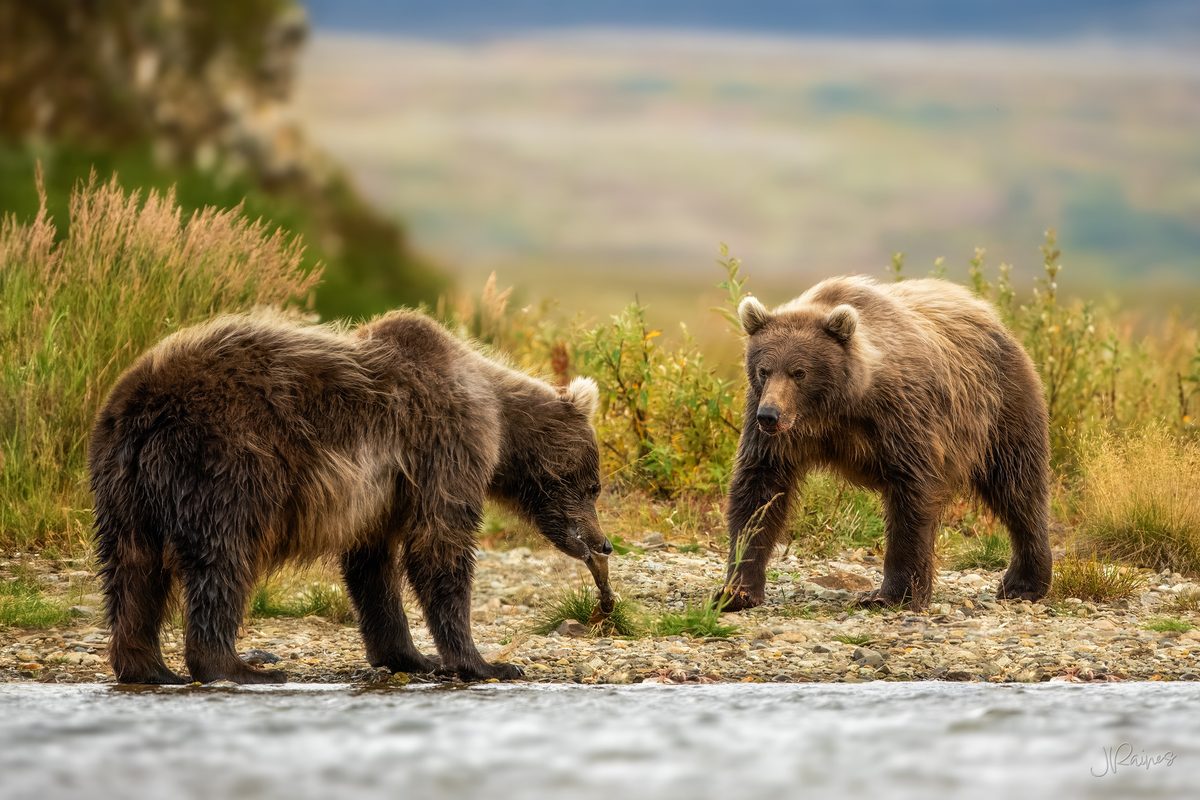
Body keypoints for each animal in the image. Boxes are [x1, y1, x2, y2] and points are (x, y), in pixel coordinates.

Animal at [89, 309, 610, 684]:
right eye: (593, 485)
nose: (603, 543)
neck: (501, 422)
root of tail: (142, 401)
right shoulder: (447, 441)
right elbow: (438, 545)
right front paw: (485, 663)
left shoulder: (383, 493)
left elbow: (372, 567)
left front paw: (410, 656)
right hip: (225, 462)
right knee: (222, 558)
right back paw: (241, 668)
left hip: (122, 483)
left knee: (132, 570)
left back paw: (150, 669)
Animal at [717, 276, 1053, 612]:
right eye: (764, 370)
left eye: (799, 372)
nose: (770, 415)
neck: (836, 408)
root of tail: (991, 316)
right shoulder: (775, 435)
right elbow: (759, 493)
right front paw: (736, 591)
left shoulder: (901, 417)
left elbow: (911, 496)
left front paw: (890, 593)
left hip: (1001, 409)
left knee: (1017, 487)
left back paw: (1023, 583)